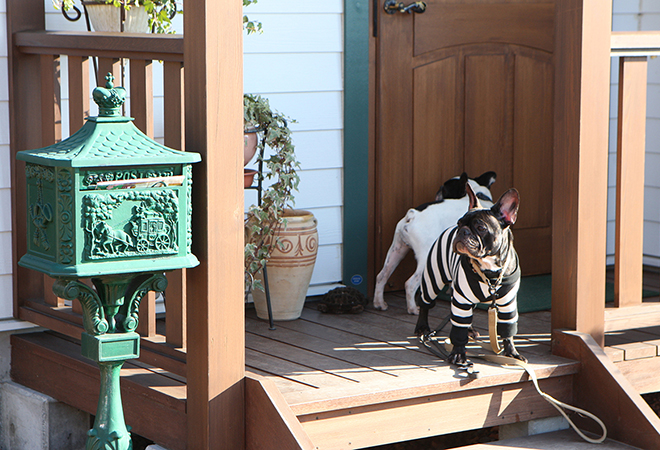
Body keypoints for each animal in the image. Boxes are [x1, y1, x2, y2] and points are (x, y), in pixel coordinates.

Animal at [374, 171, 498, 314]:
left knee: (382, 275)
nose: (438, 190)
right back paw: (413, 308)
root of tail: (412, 215)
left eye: (444, 189)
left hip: (397, 250)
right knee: (410, 284)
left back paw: (379, 303)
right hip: (425, 257)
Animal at [412, 185, 524, 368]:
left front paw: (512, 353)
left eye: (481, 228)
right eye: (459, 223)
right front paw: (458, 355)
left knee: (466, 316)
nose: (462, 231)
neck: (489, 271)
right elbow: (458, 331)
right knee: (425, 302)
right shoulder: (462, 300)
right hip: (434, 278)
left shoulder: (508, 304)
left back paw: (470, 330)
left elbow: (508, 330)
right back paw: (422, 327)